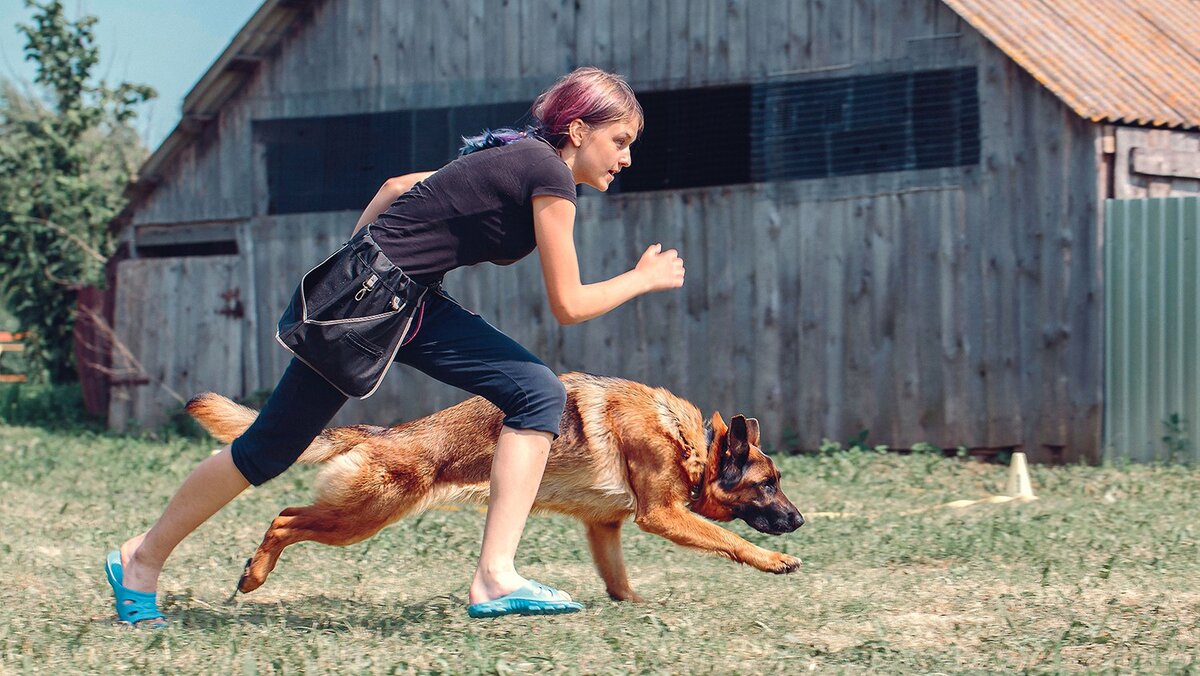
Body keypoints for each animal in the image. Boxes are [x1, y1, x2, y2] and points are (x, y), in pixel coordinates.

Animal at [184, 372, 806, 600]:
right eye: (768, 484)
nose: (800, 520)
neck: (690, 441)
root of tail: (386, 433)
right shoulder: (663, 515)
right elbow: (732, 540)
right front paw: (775, 560)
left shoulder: (604, 527)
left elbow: (619, 581)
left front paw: (630, 607)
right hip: (361, 517)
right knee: (284, 517)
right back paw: (254, 575)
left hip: (357, 515)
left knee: (287, 515)